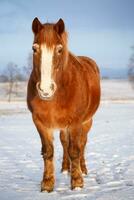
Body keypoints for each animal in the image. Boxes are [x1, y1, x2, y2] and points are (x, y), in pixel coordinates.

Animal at [27, 17, 100, 192]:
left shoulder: (75, 123)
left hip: (86, 122)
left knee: (82, 144)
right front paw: (47, 184)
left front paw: (77, 183)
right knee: (65, 143)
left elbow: (75, 150)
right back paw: (66, 169)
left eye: (60, 49)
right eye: (34, 48)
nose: (45, 89)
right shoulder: (40, 122)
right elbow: (48, 152)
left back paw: (83, 169)